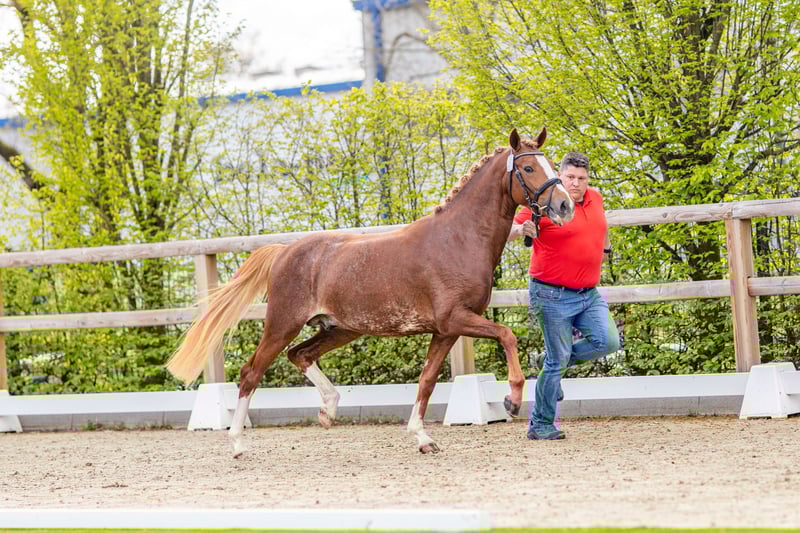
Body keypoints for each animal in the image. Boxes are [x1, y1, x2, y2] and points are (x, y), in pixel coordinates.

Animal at [167, 128, 574, 457]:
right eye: (528, 169)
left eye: (550, 163)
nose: (565, 205)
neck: (458, 239)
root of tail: (284, 251)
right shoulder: (456, 319)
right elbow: (506, 335)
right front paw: (511, 400)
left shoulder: (446, 330)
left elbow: (427, 381)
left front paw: (423, 438)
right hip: (283, 323)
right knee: (252, 371)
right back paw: (238, 444)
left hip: (341, 328)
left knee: (300, 355)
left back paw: (328, 410)